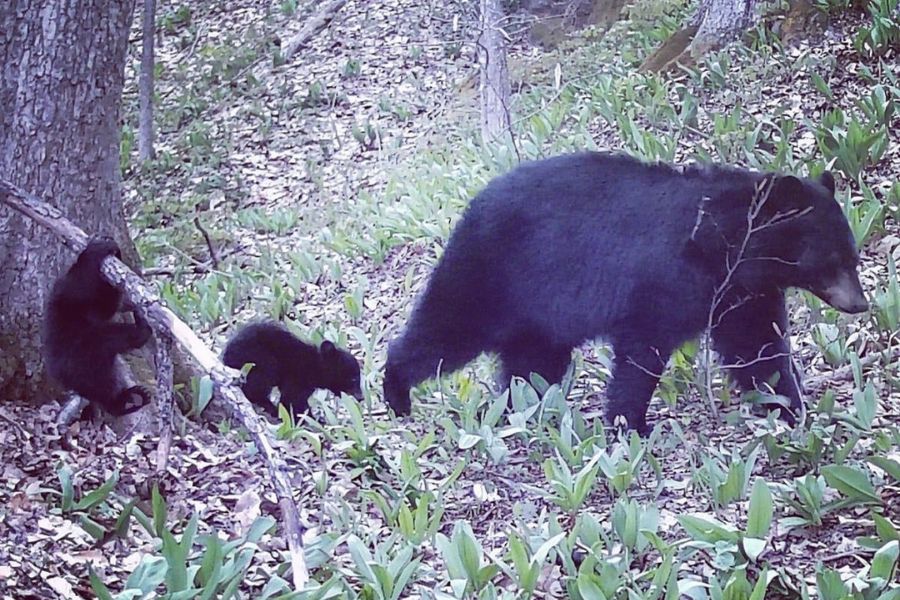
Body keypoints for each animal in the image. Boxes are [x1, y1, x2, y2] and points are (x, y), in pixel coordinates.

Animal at [223, 322, 364, 420]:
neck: (315, 366)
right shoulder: (298, 379)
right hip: (257, 360)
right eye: (353, 378)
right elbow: (292, 401)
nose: (361, 397)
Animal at [384, 152, 868, 434]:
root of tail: (474, 203)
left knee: (532, 363)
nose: (860, 303)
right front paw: (630, 423)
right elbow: (642, 350)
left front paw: (790, 408)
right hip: (494, 273)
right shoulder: (665, 280)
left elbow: (758, 347)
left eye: (853, 255)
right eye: (833, 259)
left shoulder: (743, 292)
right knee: (447, 329)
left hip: (541, 314)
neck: (727, 244)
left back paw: (521, 408)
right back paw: (397, 394)